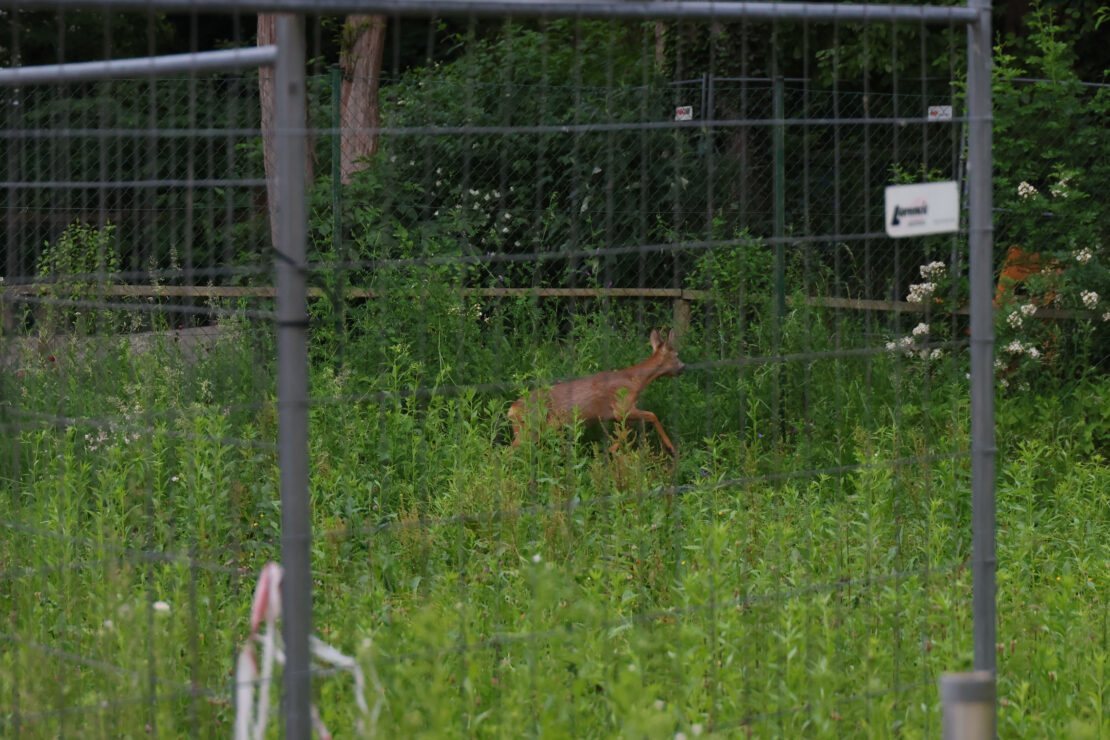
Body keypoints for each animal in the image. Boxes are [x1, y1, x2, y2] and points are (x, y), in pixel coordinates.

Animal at [508, 326, 683, 454]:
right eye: (676, 355)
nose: (683, 367)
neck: (636, 380)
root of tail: (512, 409)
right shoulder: (622, 407)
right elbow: (652, 415)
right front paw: (671, 448)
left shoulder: (616, 415)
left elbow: (627, 431)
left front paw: (610, 450)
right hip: (531, 428)